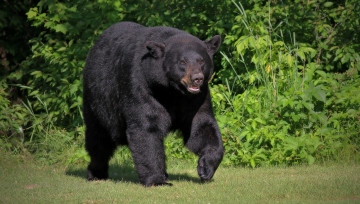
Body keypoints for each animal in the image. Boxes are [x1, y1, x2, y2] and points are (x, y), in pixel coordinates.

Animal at [84, 21, 224, 186]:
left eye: (201, 61)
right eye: (182, 62)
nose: (197, 78)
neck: (172, 91)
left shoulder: (196, 98)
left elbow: (202, 126)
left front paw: (205, 167)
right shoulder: (141, 86)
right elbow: (147, 128)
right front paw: (157, 180)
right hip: (97, 101)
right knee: (98, 140)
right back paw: (96, 173)